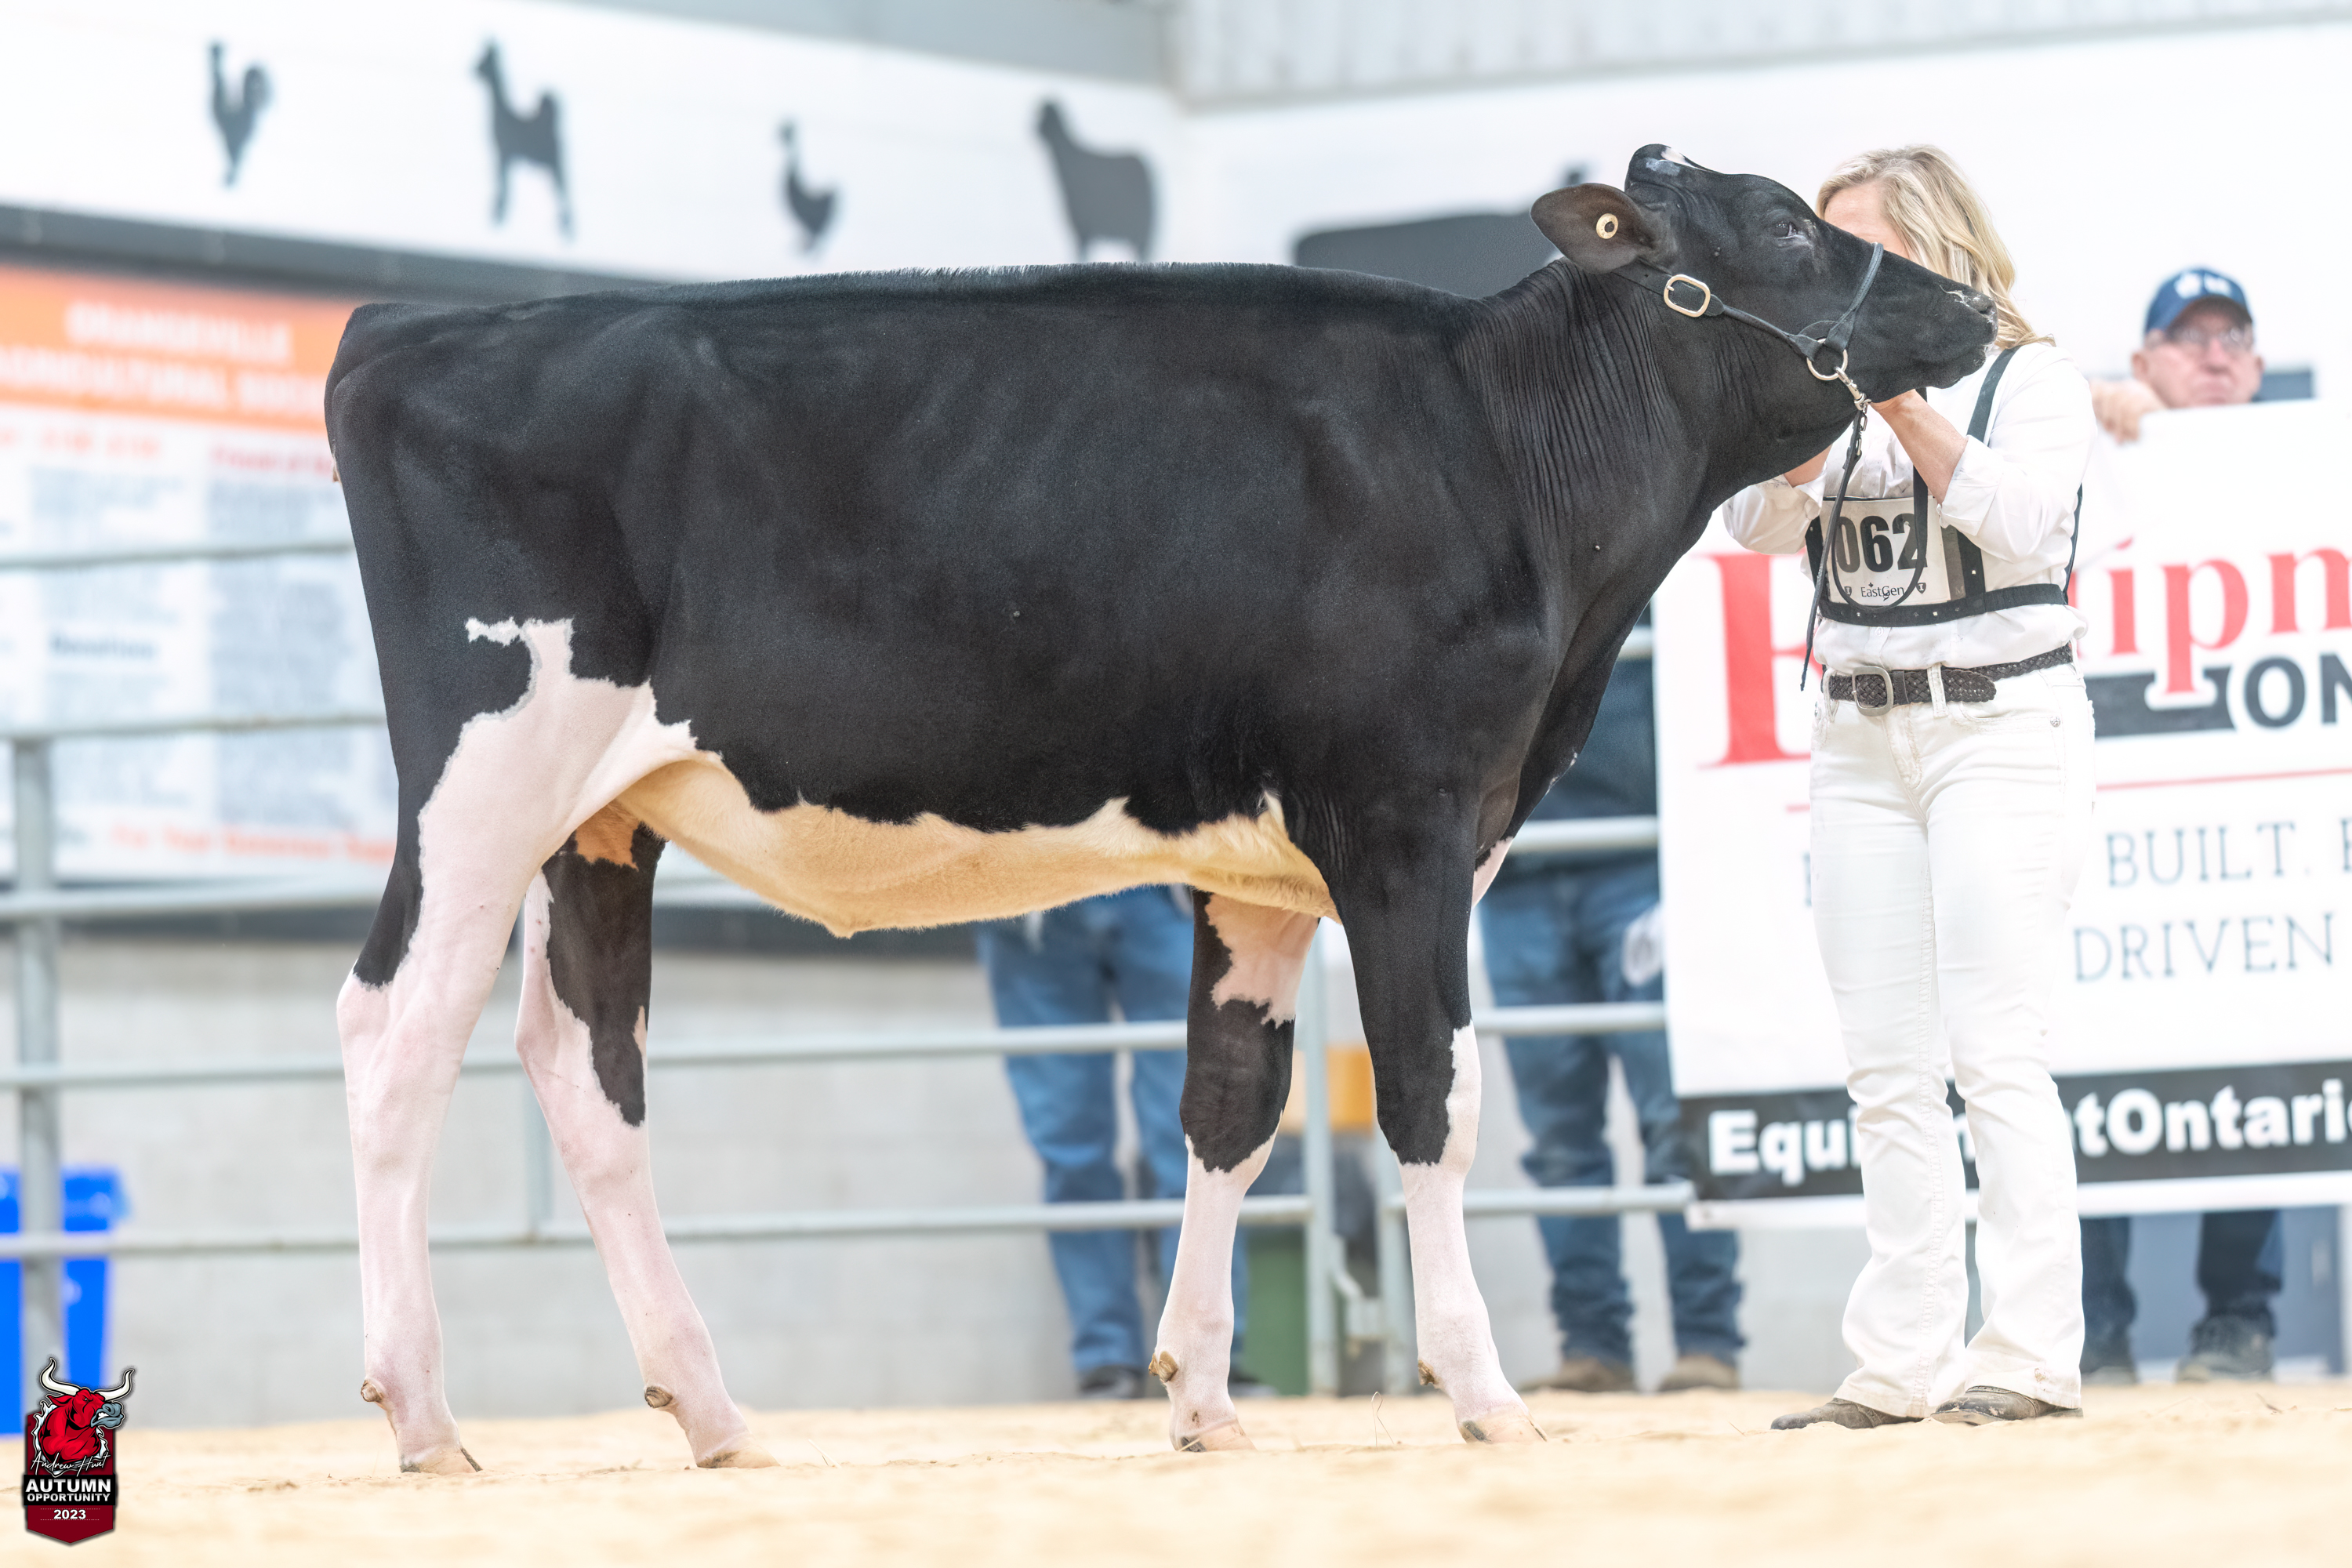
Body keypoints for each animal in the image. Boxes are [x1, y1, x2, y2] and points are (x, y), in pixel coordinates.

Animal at [326, 145, 1994, 1473]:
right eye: (1783, 224)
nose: (1978, 306)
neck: (1501, 455)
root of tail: (407, 326)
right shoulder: (1407, 823)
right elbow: (1432, 1096)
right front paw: (1482, 1391)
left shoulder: (1259, 875)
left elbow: (1231, 1108)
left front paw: (1201, 1395)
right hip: (484, 780)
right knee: (395, 1031)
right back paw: (423, 1412)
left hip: (601, 818)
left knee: (584, 1066)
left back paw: (713, 1410)